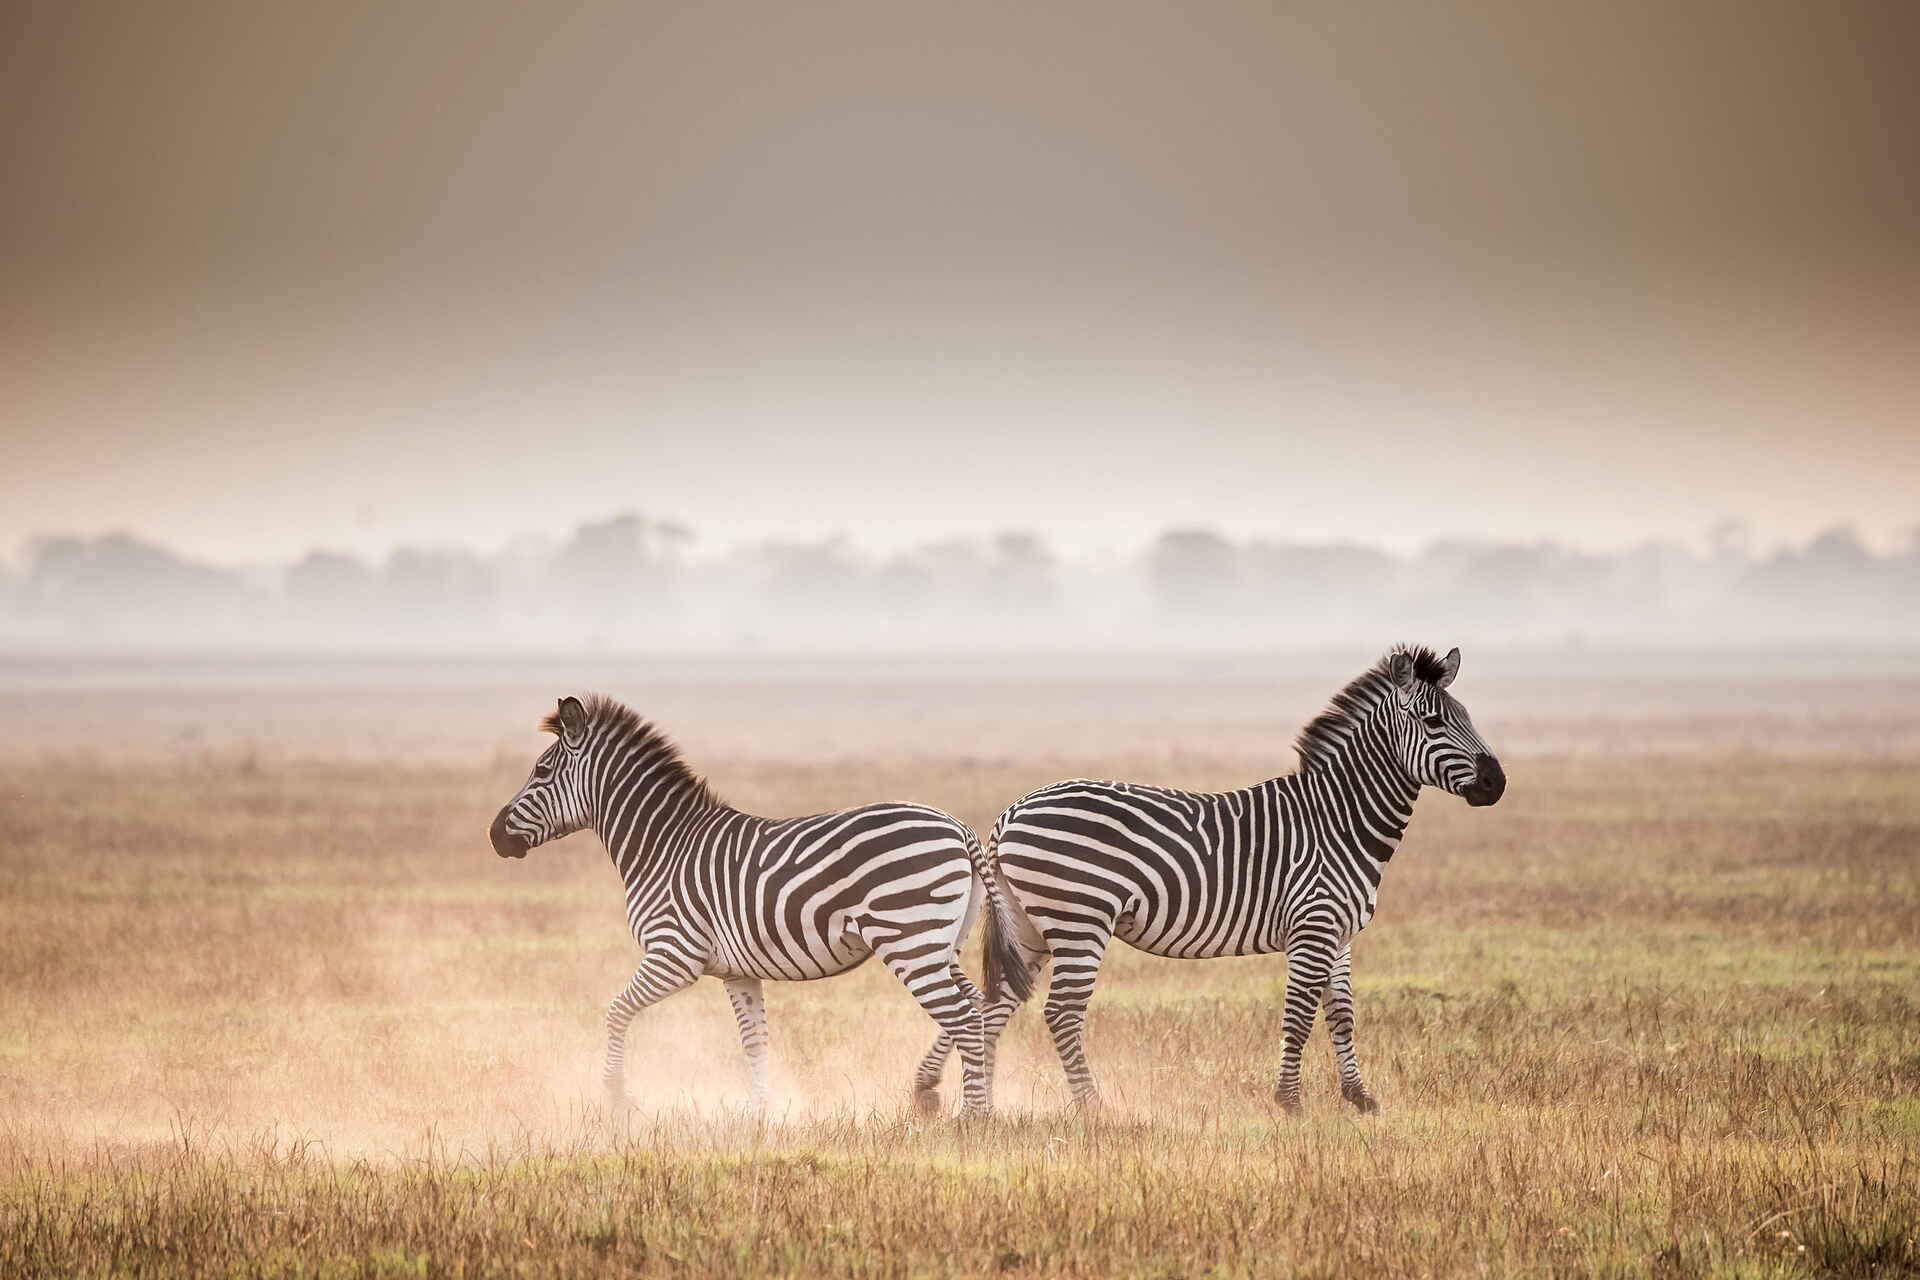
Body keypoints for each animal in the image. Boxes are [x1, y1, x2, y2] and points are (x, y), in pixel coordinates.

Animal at [487, 694, 1040, 1116]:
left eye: (541, 770)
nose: (494, 836)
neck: (662, 845)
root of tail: (960, 827)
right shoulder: (737, 971)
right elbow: (754, 1039)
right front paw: (759, 1112)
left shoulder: (673, 955)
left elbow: (616, 1011)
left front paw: (617, 1099)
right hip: (940, 941)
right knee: (978, 1005)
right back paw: (956, 1100)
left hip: (910, 940)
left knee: (962, 1015)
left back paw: (972, 1117)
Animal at [912, 644, 1505, 1115]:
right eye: (1433, 723)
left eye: (1468, 717)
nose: (1496, 783)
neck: (1338, 819)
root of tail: (1011, 812)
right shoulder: (1312, 927)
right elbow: (1298, 1015)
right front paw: (1290, 1103)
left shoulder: (1337, 933)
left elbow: (1341, 1015)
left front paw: (1360, 1099)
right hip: (1080, 921)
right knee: (1059, 1013)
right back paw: (1091, 1107)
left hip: (1031, 926)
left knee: (992, 1005)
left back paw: (964, 1099)